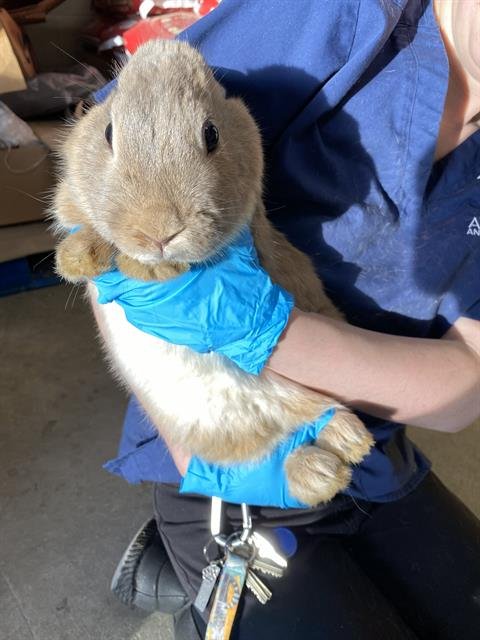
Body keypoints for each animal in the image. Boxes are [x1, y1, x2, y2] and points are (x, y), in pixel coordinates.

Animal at [52, 39, 373, 506]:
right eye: (109, 132)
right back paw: (323, 471)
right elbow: (87, 229)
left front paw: (149, 266)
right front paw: (77, 260)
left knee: (312, 422)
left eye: (211, 134)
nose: (158, 231)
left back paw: (344, 450)